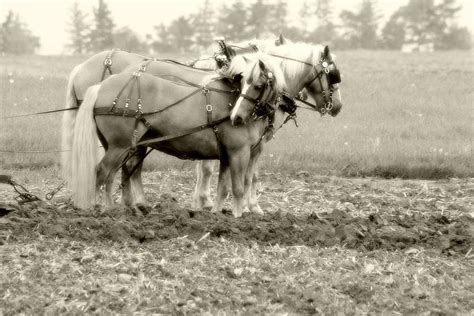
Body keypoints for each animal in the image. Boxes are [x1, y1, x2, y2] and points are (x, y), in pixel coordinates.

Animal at [69, 55, 286, 217]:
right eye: (245, 82)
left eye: (258, 85)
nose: (236, 117)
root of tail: (101, 87)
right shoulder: (239, 152)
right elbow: (238, 188)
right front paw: (238, 216)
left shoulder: (226, 154)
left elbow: (222, 188)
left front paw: (216, 214)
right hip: (119, 145)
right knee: (103, 171)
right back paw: (100, 209)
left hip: (122, 146)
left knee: (116, 173)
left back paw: (119, 208)